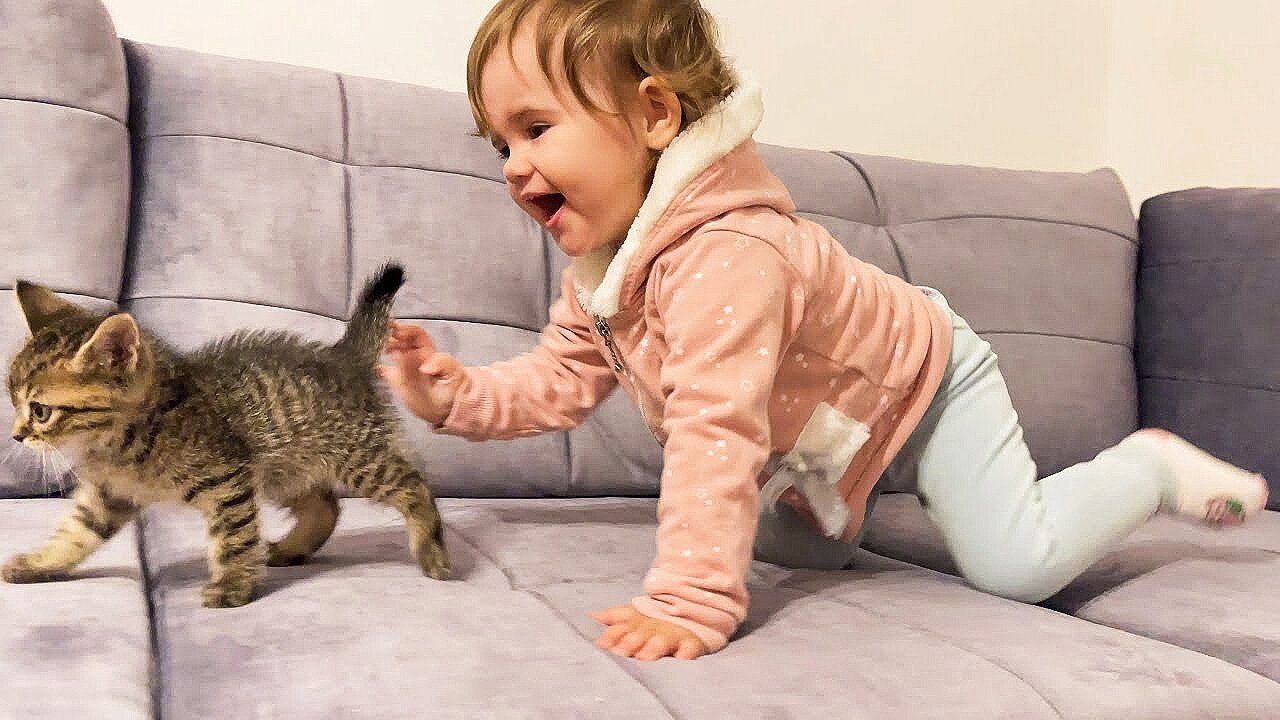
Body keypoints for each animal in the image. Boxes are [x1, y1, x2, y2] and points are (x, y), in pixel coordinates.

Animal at [2, 263, 450, 604]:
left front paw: (233, 586)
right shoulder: (109, 495)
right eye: (12, 399)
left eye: (40, 411)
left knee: (412, 484)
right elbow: (76, 534)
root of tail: (341, 356)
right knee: (326, 506)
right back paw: (293, 548)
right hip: (280, 469)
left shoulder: (227, 478)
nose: (17, 435)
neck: (123, 442)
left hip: (355, 457)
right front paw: (41, 564)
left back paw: (431, 550)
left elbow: (235, 536)